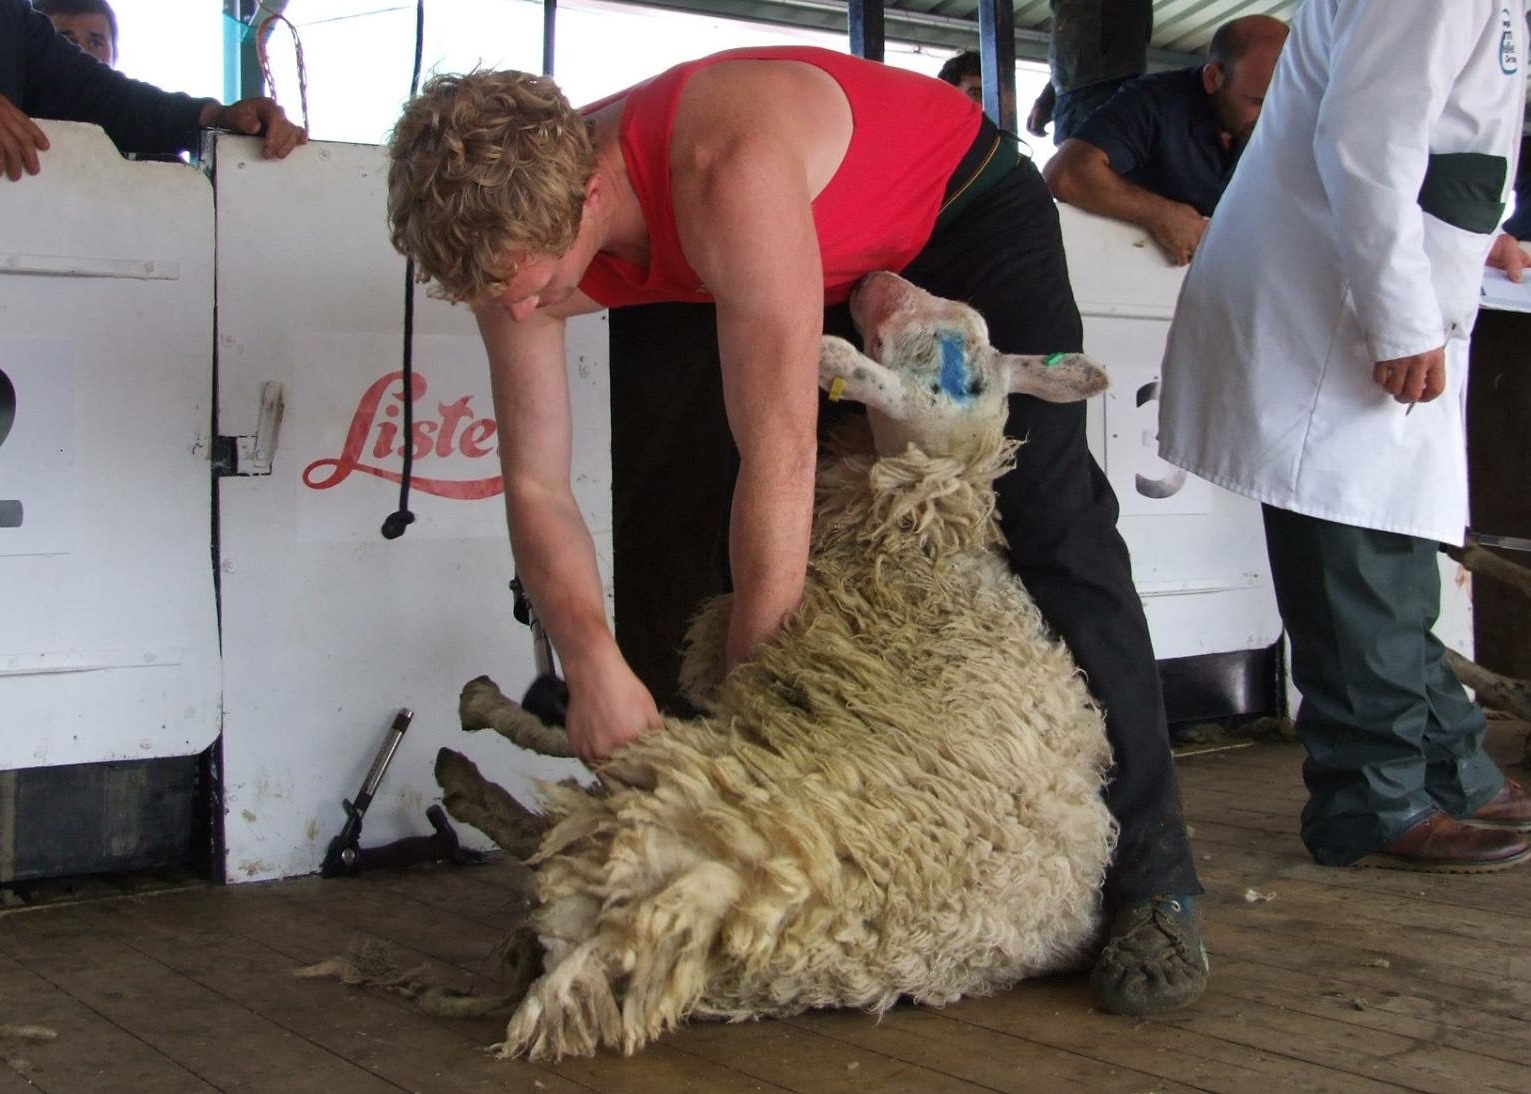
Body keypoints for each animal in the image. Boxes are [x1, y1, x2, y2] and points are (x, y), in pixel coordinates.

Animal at [431, 272, 1114, 1058]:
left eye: (943, 362)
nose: (880, 280)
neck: (923, 545)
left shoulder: (725, 685)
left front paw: (499, 714)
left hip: (696, 792)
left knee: (568, 817)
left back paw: (472, 759)